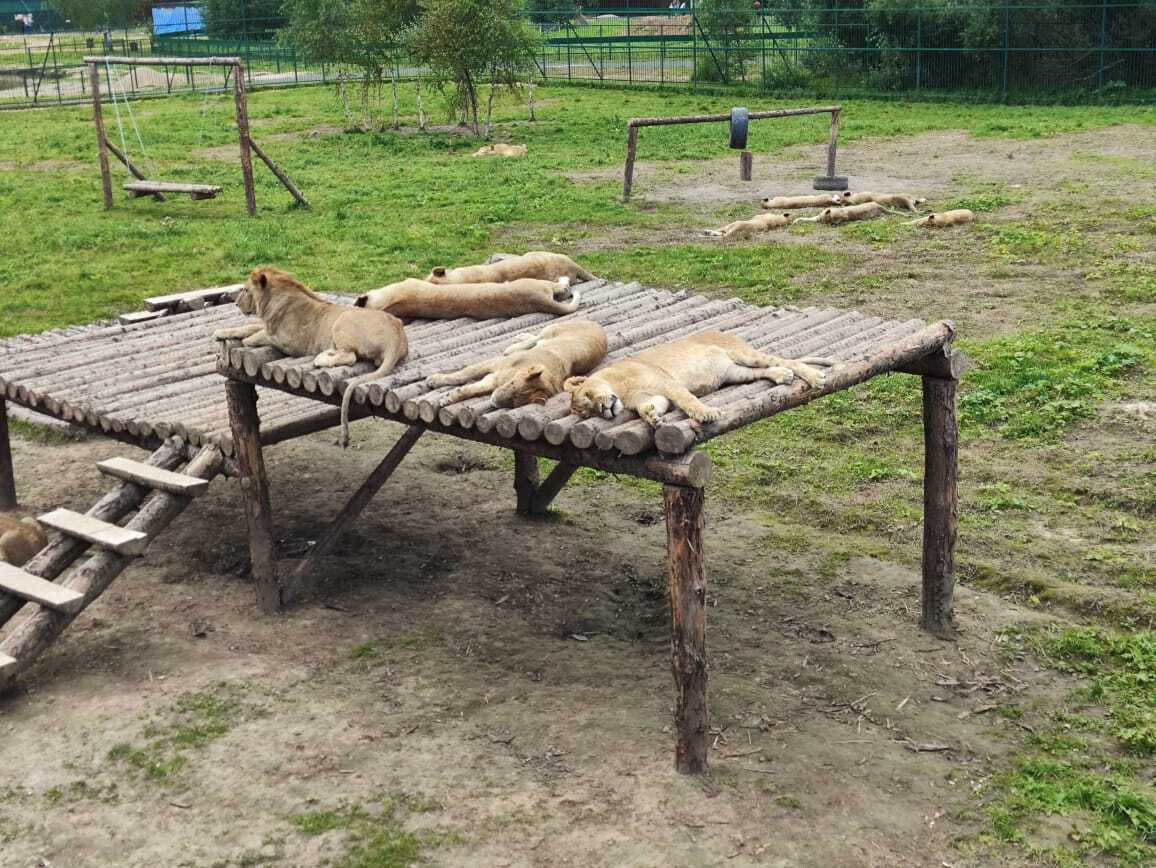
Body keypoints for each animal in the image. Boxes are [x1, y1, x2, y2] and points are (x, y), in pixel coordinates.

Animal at [213, 267, 408, 448]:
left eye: (246, 290)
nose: (236, 304)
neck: (272, 303)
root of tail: (397, 336)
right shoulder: (268, 327)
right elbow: (249, 327)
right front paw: (220, 332)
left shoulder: (289, 343)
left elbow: (256, 336)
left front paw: (246, 339)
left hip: (343, 319)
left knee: (351, 356)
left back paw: (322, 357)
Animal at [428, 320, 607, 407]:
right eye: (513, 386)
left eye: (516, 402)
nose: (495, 402)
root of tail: (597, 324)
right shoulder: (494, 364)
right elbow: (462, 374)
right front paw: (434, 380)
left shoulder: (492, 379)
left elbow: (468, 390)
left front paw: (448, 397)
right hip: (552, 328)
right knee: (536, 337)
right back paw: (514, 343)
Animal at [563, 332, 831, 427]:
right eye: (588, 413)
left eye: (589, 395)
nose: (604, 409)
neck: (620, 388)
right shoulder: (655, 396)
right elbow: (650, 406)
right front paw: (651, 417)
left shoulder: (669, 384)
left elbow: (688, 401)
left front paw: (706, 414)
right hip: (735, 372)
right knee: (767, 370)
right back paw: (781, 376)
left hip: (744, 354)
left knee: (785, 360)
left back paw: (814, 376)